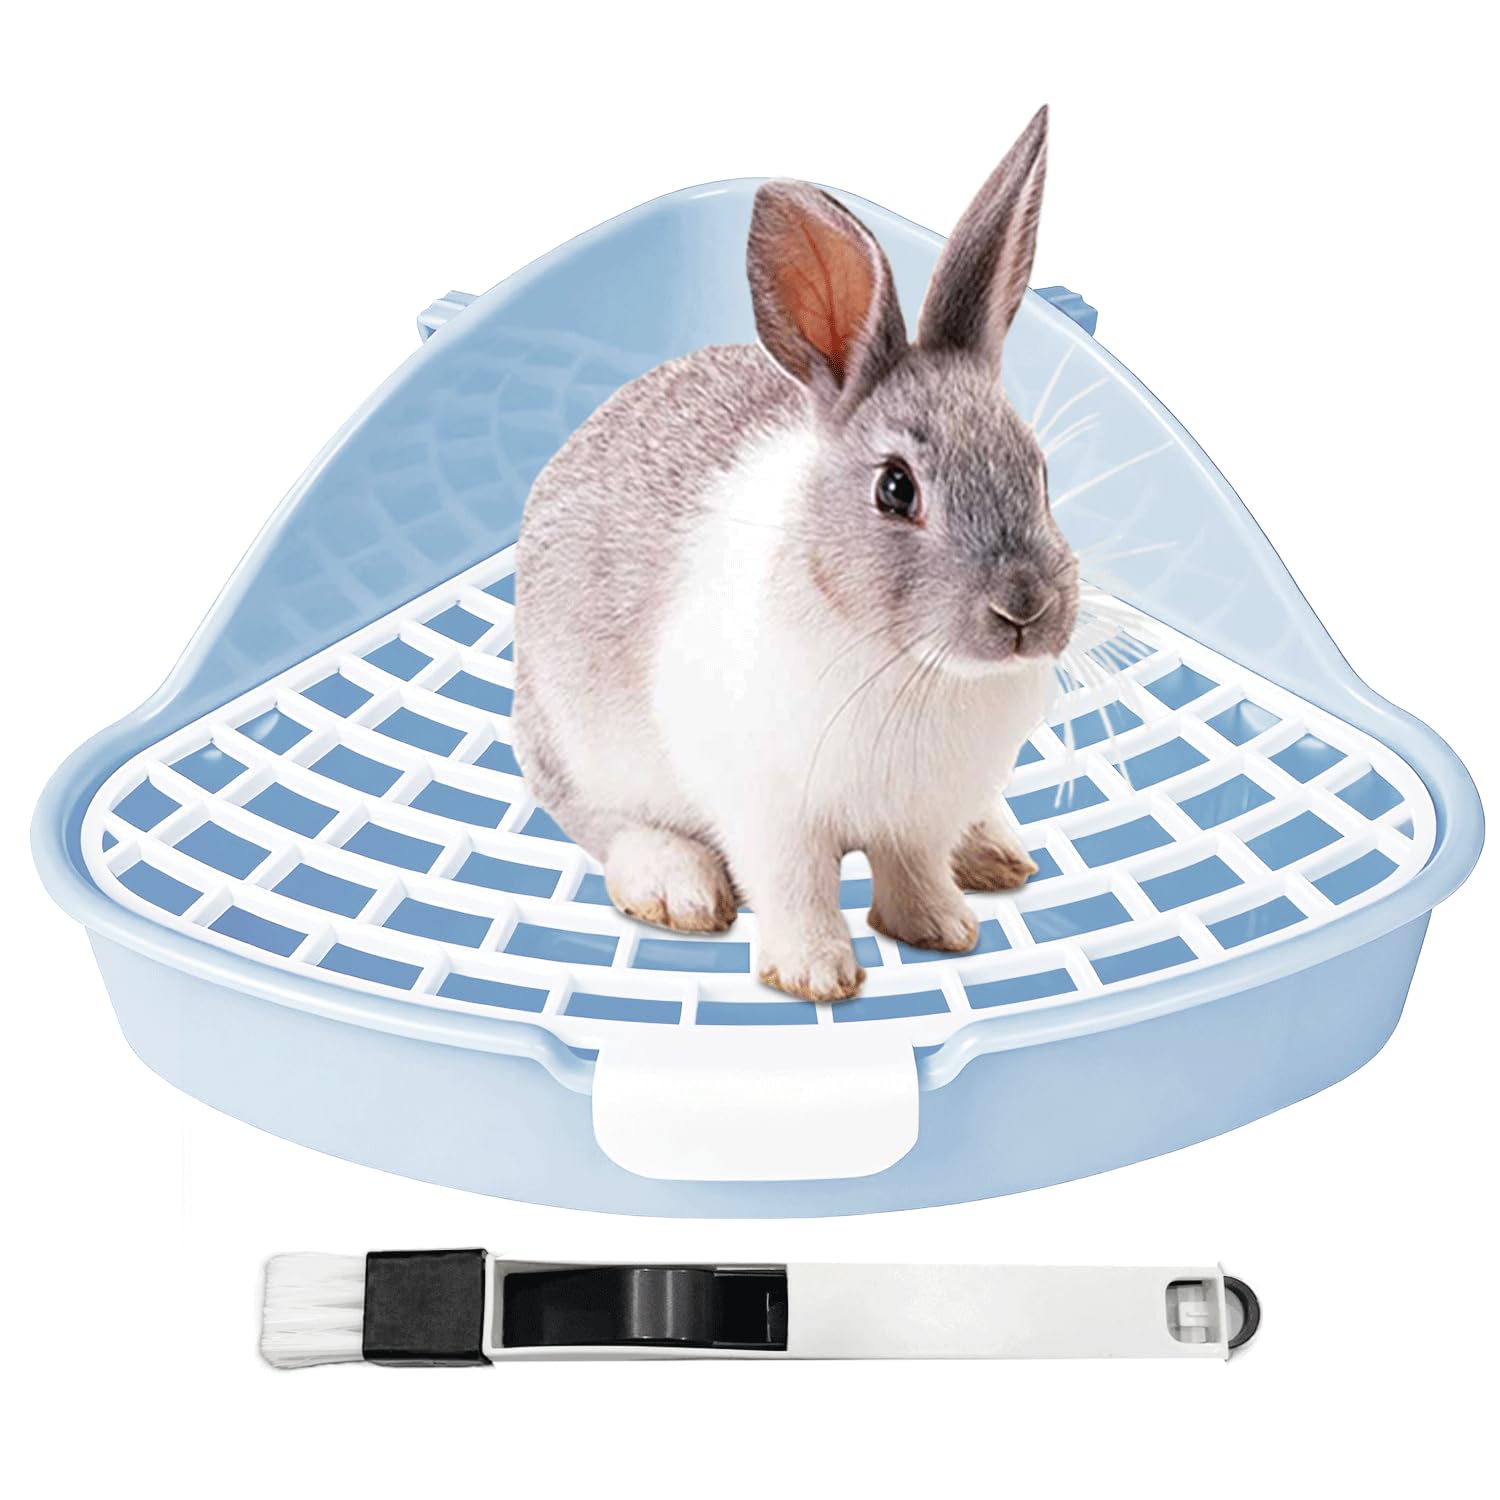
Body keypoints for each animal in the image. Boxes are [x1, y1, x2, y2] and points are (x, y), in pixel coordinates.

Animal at [513, 105, 1077, 1001]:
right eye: (895, 489)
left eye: (1041, 471)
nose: (1025, 609)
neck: (910, 665)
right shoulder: (769, 812)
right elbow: (796, 886)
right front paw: (814, 976)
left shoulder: (917, 816)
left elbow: (913, 870)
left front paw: (942, 931)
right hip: (576, 744)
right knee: (601, 821)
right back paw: (676, 885)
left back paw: (994, 852)